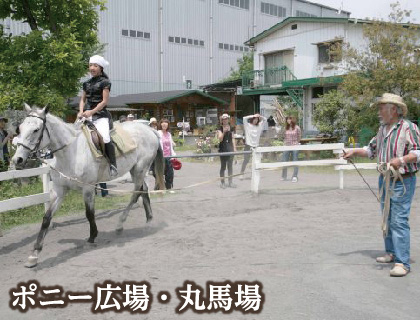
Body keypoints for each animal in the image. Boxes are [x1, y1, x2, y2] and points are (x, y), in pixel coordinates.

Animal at [9, 105, 164, 268]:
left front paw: (92, 237)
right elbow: (46, 218)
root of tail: (149, 130)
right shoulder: (59, 190)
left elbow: (89, 213)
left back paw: (120, 224)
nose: (17, 160)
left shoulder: (88, 188)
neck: (71, 152)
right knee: (143, 190)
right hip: (135, 170)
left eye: (36, 130)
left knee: (136, 194)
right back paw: (149, 221)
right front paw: (34, 254)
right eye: (20, 128)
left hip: (140, 169)